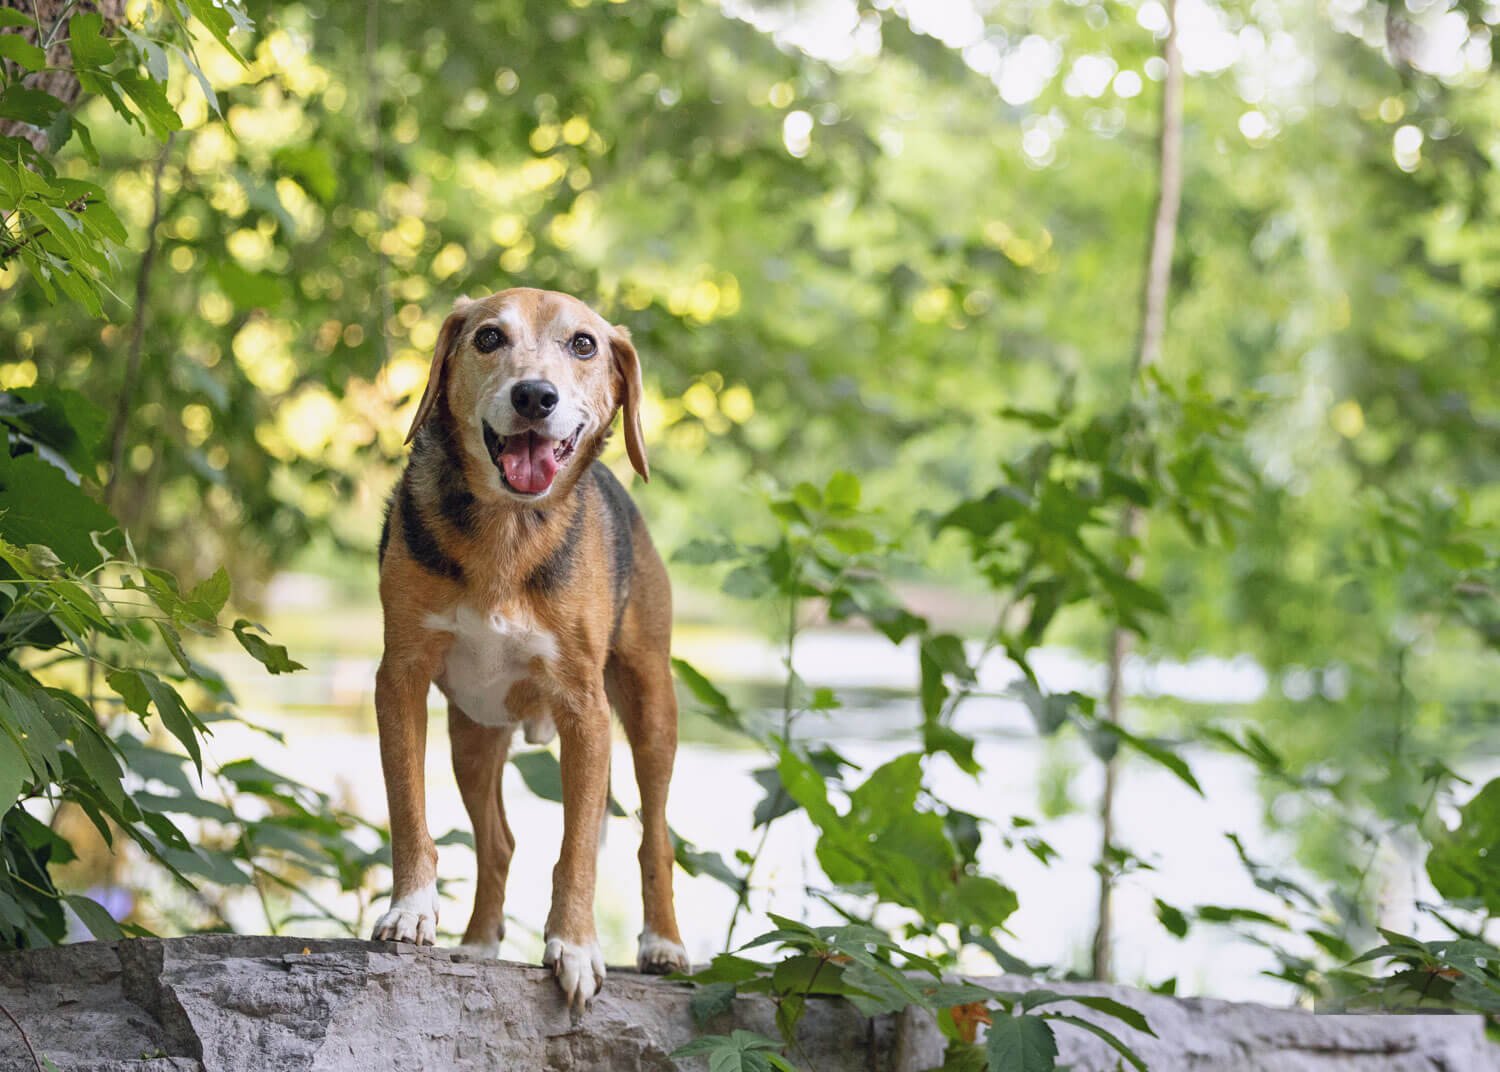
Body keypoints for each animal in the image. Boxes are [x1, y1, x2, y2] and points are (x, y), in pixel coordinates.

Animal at [372, 287, 687, 1013]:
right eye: (488, 337)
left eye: (584, 344)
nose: (535, 396)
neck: (508, 531)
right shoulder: (399, 681)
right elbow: (408, 809)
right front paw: (412, 910)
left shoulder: (586, 713)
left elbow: (577, 852)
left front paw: (574, 946)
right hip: (472, 736)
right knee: (499, 844)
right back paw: (479, 943)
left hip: (652, 710)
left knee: (654, 838)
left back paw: (663, 944)